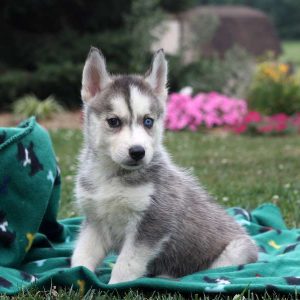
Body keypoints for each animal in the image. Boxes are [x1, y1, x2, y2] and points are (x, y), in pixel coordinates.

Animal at [71, 47, 258, 284]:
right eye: (113, 121)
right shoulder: (95, 221)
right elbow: (82, 255)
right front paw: (76, 277)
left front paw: (115, 285)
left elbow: (125, 265)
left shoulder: (152, 223)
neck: (113, 176)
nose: (138, 151)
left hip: (236, 250)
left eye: (148, 121)